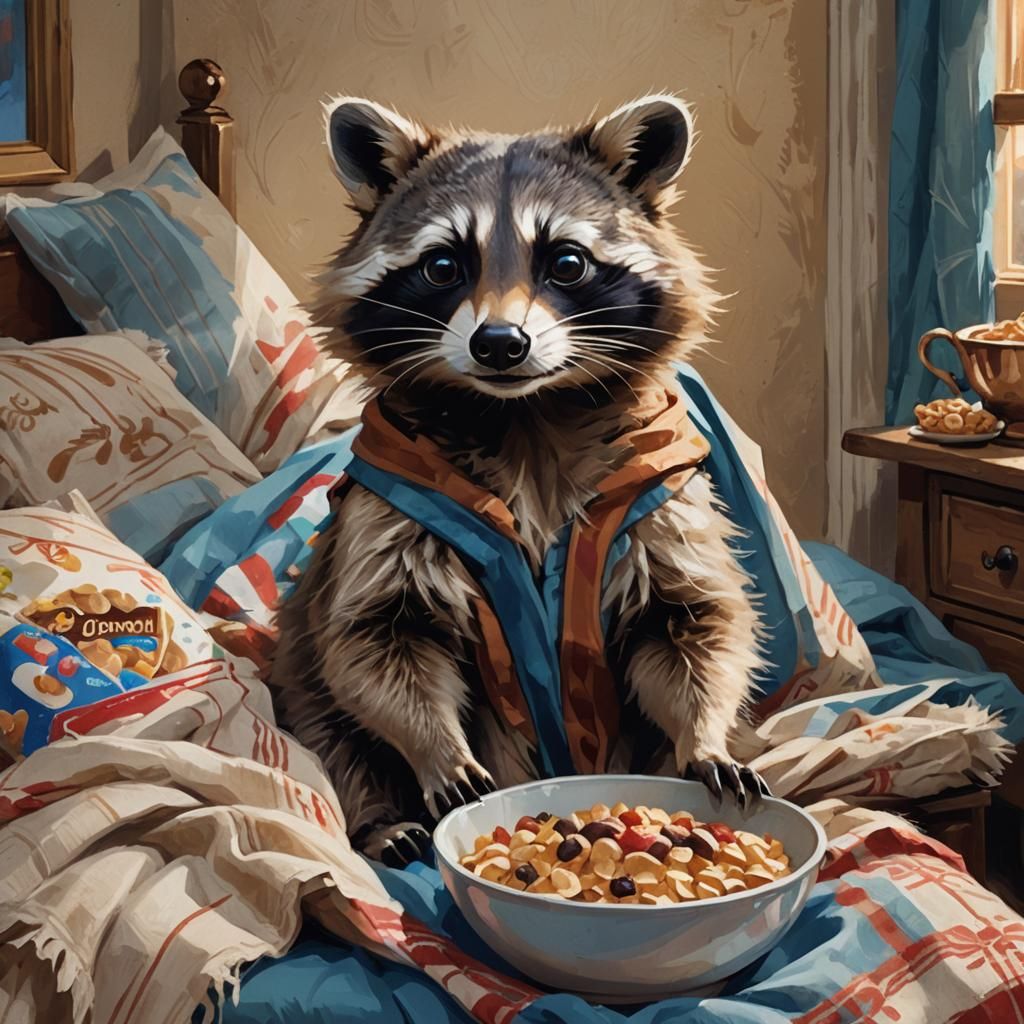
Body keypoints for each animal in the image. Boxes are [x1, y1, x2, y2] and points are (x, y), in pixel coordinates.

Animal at [270, 94, 768, 866]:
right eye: (443, 265)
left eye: (566, 262)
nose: (500, 344)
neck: (525, 417)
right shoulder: (386, 513)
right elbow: (376, 642)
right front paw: (438, 749)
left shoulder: (657, 502)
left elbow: (693, 625)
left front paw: (703, 733)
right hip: (300, 671)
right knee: (336, 734)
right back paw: (381, 817)